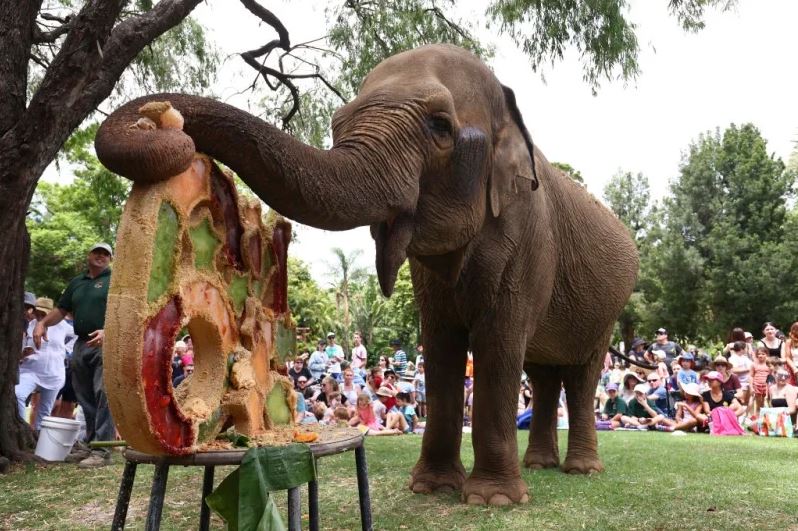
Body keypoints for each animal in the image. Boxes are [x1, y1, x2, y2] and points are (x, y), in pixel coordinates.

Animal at [97, 43, 640, 504]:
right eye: (337, 123)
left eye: (440, 126)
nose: (161, 123)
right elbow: (440, 345)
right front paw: (431, 489)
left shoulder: (527, 241)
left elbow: (498, 343)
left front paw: (493, 501)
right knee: (544, 375)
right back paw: (541, 465)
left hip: (610, 308)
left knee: (580, 376)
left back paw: (581, 471)